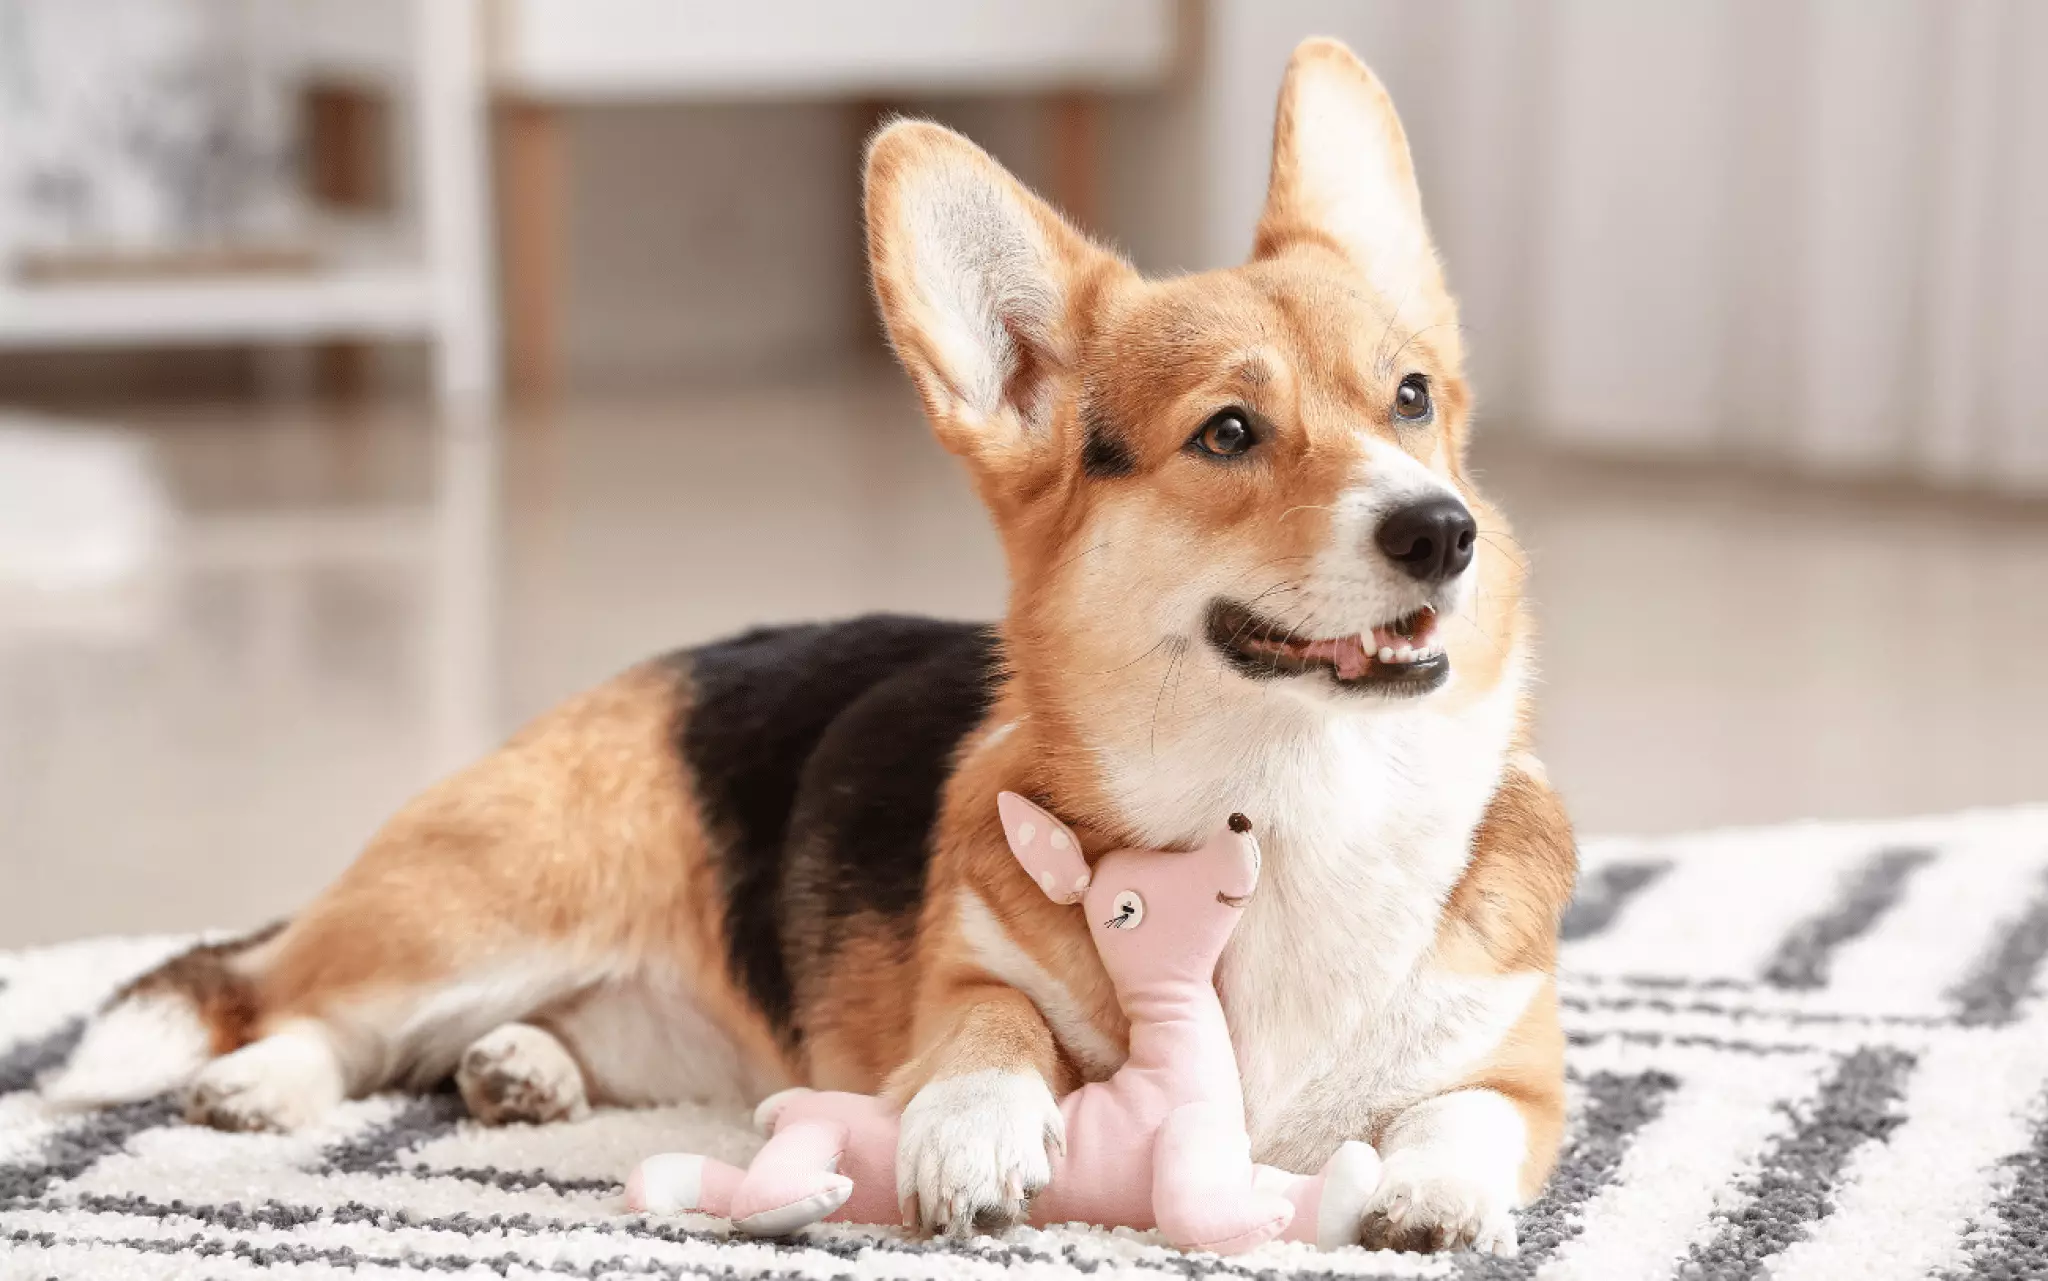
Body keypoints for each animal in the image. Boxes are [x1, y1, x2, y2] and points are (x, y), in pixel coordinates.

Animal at [51, 37, 1581, 1246]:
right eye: (1227, 432)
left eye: (1410, 400)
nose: (1441, 532)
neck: (1290, 796)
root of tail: (631, 680)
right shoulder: (966, 978)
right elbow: (989, 1031)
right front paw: (971, 1131)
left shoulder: (1524, 1079)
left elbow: (1457, 1118)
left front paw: (1430, 1197)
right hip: (479, 910)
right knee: (296, 995)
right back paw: (268, 1081)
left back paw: (523, 1070)